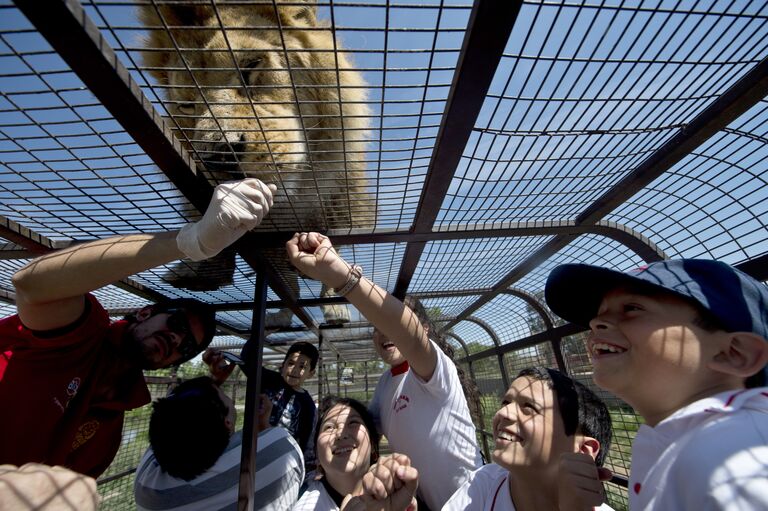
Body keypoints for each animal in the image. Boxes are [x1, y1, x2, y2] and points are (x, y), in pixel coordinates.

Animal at [142, 0, 376, 326]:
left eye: (251, 65)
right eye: (187, 104)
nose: (218, 155)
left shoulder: (344, 207)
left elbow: (331, 255)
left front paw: (334, 302)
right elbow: (281, 278)